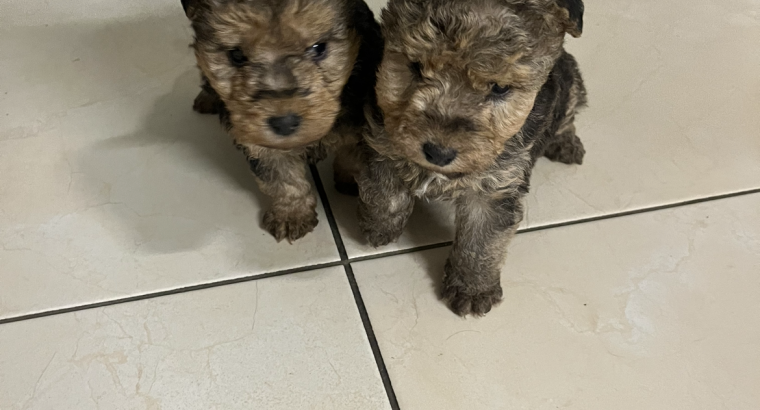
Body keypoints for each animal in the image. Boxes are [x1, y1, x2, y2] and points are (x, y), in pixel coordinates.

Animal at [182, 0, 382, 242]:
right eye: (236, 56)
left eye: (319, 48)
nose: (284, 123)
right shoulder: (259, 142)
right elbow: (282, 178)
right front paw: (291, 215)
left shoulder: (359, 120)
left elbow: (352, 155)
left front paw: (351, 181)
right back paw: (207, 98)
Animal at [356, 0, 588, 316]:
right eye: (416, 67)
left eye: (500, 88)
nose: (438, 152)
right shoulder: (383, 135)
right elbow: (386, 190)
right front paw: (380, 226)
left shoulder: (496, 187)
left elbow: (481, 240)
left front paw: (472, 289)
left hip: (569, 77)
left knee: (569, 109)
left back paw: (566, 143)